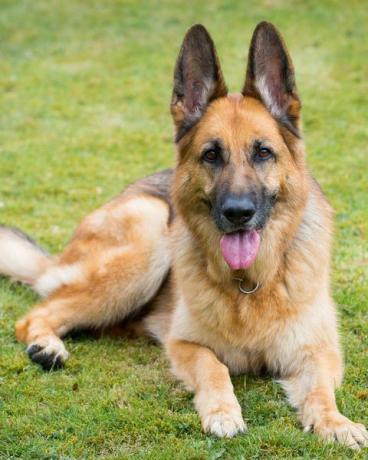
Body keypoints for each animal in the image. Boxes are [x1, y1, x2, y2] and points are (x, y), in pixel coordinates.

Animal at [0, 22, 368, 450]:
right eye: (211, 154)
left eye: (263, 152)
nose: (238, 213)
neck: (248, 285)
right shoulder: (185, 344)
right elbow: (214, 367)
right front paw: (223, 412)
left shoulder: (318, 352)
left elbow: (321, 392)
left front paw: (335, 423)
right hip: (149, 237)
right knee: (34, 315)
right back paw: (46, 345)